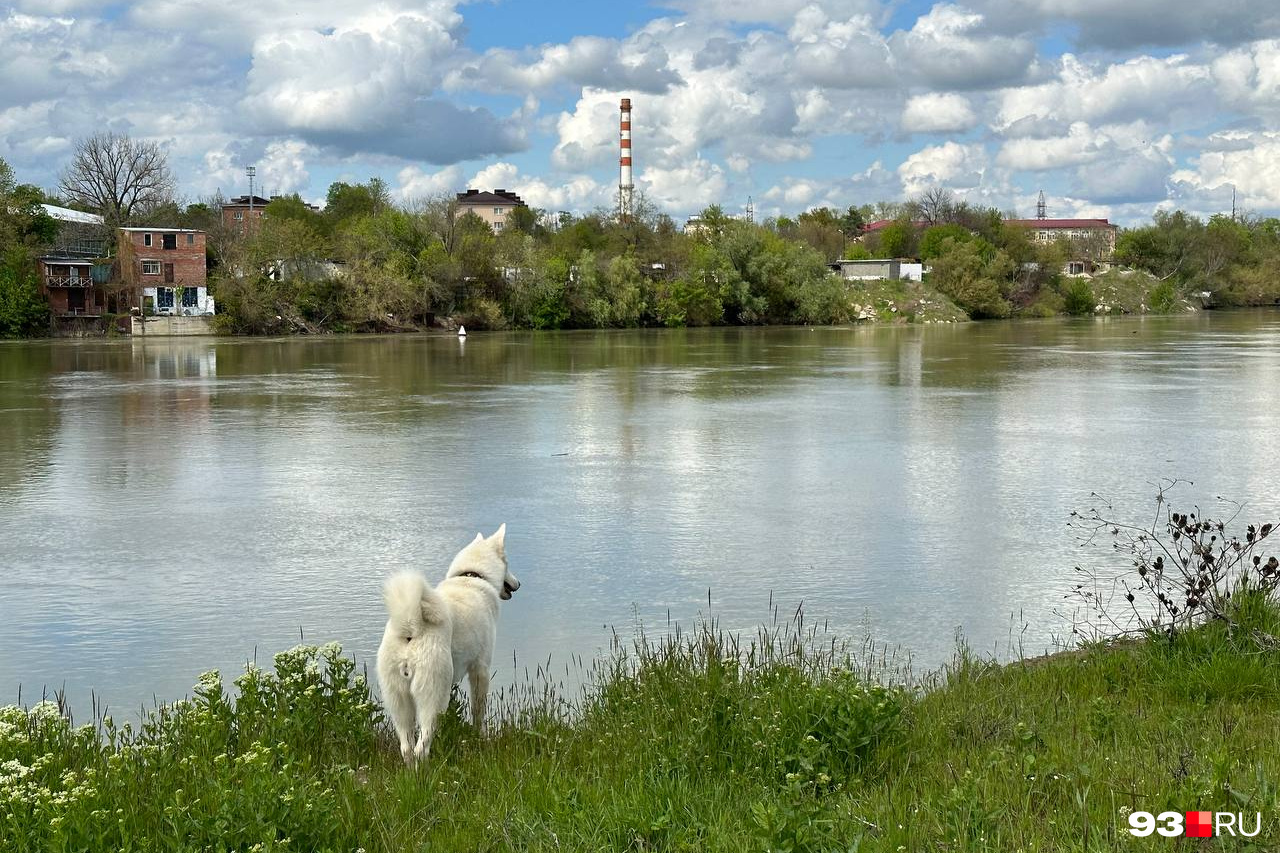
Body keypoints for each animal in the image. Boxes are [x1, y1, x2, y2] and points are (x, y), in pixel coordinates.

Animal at [373, 525, 519, 763]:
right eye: (507, 563)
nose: (518, 583)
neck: (472, 576)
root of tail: (411, 627)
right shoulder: (480, 670)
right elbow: (478, 710)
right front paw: (480, 736)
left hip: (399, 701)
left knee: (407, 748)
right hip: (432, 697)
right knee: (421, 747)